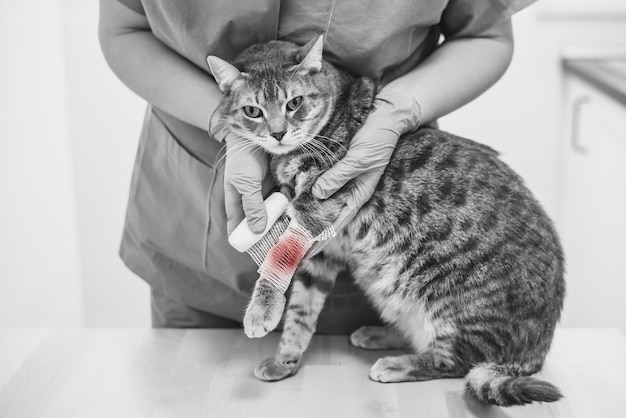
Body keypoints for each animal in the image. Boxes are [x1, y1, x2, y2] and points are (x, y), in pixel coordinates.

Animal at [207, 37, 564, 406]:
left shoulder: (314, 207)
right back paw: (379, 334)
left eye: (295, 103)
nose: (278, 133)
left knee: (458, 361)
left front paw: (261, 312)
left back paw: (398, 363)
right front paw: (285, 358)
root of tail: (538, 348)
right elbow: (301, 311)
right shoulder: (322, 251)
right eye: (253, 111)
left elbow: (278, 260)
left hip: (451, 300)